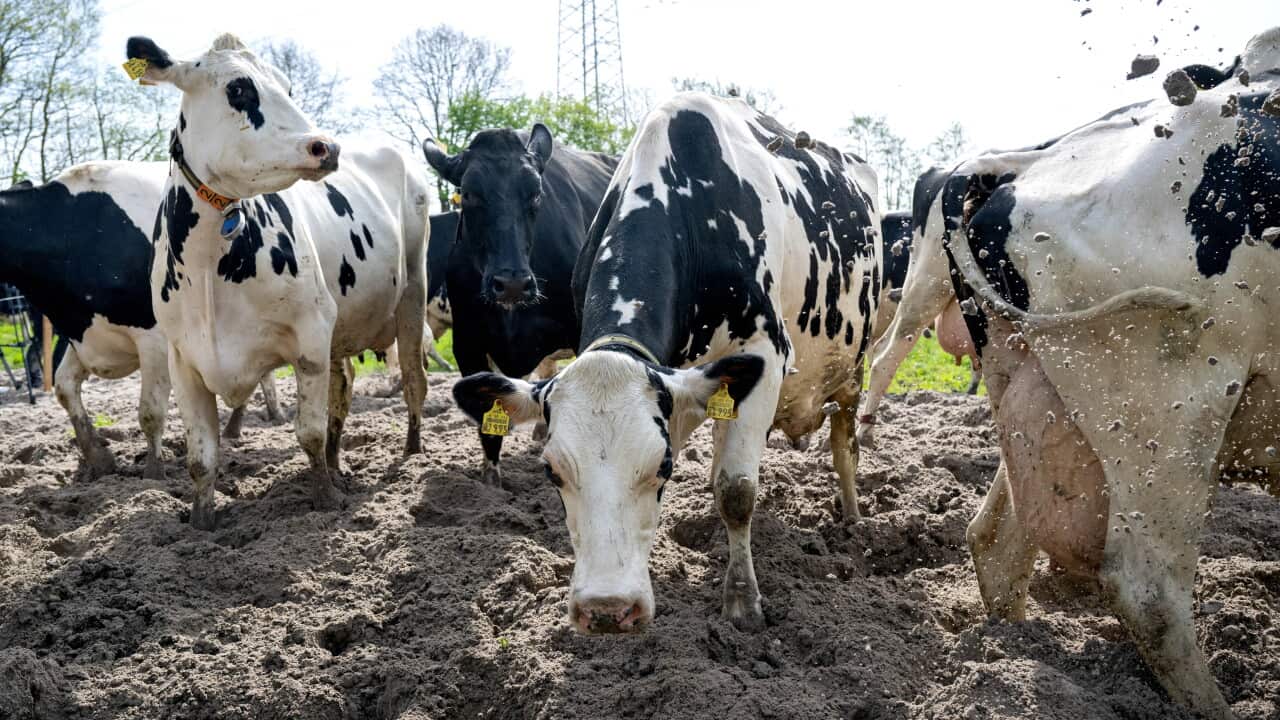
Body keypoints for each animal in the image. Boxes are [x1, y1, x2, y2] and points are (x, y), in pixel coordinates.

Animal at [0, 162, 280, 480]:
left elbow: (150, 412)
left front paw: (154, 473)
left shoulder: (155, 339)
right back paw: (239, 426)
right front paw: (99, 459)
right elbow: (64, 389)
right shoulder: (86, 334)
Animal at [125, 34, 430, 530]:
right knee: (342, 389)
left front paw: (324, 499)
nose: (327, 147)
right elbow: (200, 458)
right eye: (239, 89)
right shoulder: (183, 358)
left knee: (412, 380)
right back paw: (339, 462)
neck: (209, 272)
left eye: (288, 87)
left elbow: (307, 432)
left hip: (413, 294)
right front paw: (201, 522)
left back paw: (412, 453)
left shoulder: (310, 334)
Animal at [422, 126, 617, 483]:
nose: (511, 283)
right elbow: (488, 423)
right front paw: (491, 480)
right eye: (468, 194)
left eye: (537, 194)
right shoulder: (468, 343)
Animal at [451, 92, 882, 633]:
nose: (606, 610)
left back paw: (851, 518)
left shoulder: (765, 352)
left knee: (845, 443)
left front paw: (742, 603)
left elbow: (737, 490)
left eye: (665, 466)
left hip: (853, 365)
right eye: (551, 471)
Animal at [934, 29, 1280, 719]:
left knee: (995, 538)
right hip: (1170, 407)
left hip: (1038, 395)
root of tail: (1020, 166)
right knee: (1148, 589)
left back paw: (1015, 662)